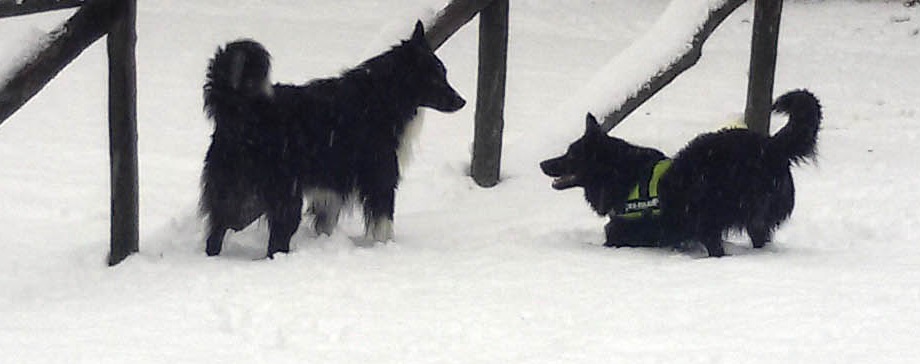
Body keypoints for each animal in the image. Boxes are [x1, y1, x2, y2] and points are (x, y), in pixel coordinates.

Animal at [199, 21, 464, 258]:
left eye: (445, 74)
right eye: (435, 78)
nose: (462, 102)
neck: (384, 95)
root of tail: (239, 107)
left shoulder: (332, 187)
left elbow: (326, 221)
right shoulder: (381, 177)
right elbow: (384, 223)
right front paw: (387, 248)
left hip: (235, 193)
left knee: (217, 233)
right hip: (284, 197)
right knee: (274, 244)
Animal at [540, 90, 820, 258]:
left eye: (571, 155)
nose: (542, 163)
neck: (619, 173)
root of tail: (771, 146)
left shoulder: (625, 236)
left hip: (715, 214)